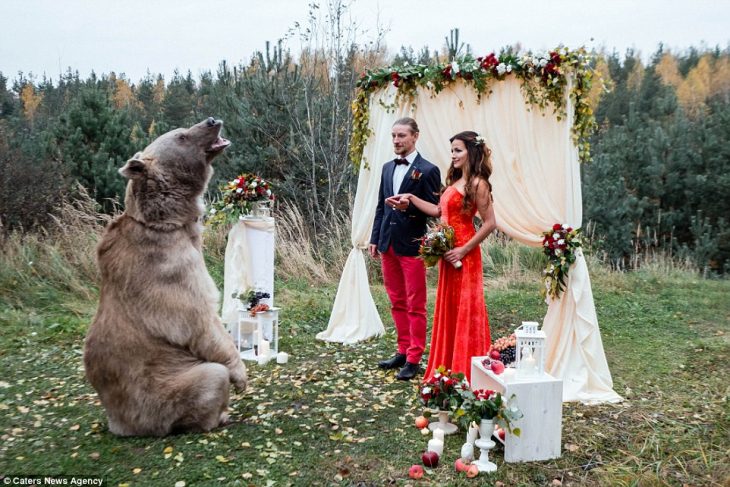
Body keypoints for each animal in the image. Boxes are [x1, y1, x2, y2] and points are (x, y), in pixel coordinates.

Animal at [84, 118, 246, 438]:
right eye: (181, 136)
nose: (212, 121)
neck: (171, 223)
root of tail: (122, 424)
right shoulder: (171, 270)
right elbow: (203, 320)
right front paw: (241, 375)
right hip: (165, 390)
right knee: (210, 377)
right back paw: (220, 416)